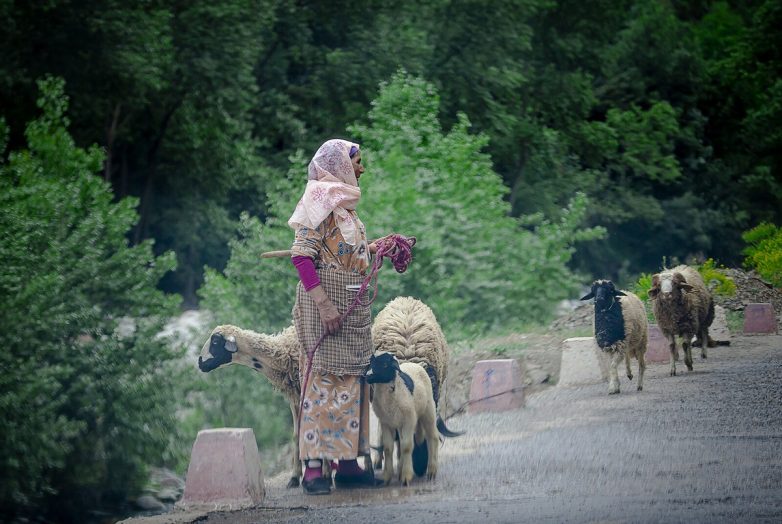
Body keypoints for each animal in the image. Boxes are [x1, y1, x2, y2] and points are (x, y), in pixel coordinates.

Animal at [366, 352, 440, 488]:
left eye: (385, 364)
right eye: (371, 363)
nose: (368, 376)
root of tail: (415, 364)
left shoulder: (409, 421)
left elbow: (407, 446)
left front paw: (406, 477)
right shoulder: (386, 423)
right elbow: (388, 448)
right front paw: (387, 477)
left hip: (428, 411)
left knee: (433, 437)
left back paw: (431, 471)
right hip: (399, 423)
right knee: (400, 444)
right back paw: (400, 469)